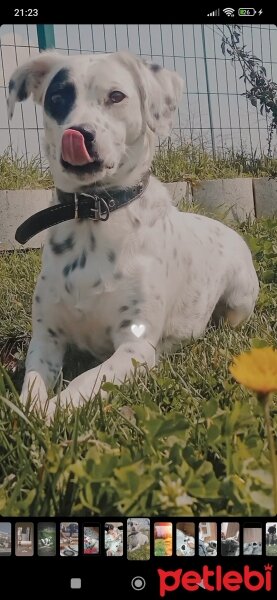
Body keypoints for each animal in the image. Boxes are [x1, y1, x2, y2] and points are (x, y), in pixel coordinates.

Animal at [7, 50, 258, 418]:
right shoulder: (46, 339)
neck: (93, 215)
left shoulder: (135, 347)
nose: (78, 133)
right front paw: (32, 411)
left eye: (116, 96)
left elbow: (86, 381)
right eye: (57, 98)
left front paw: (53, 413)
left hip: (240, 299)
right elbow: (33, 384)